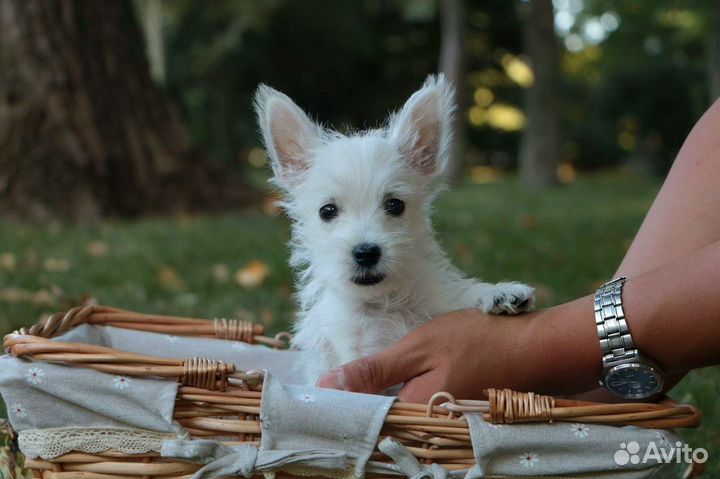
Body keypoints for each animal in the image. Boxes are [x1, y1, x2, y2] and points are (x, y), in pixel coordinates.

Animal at [255, 76, 536, 386]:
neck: (382, 303)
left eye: (394, 205)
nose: (366, 252)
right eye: (327, 211)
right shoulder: (349, 347)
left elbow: (458, 295)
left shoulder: (438, 303)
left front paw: (499, 293)